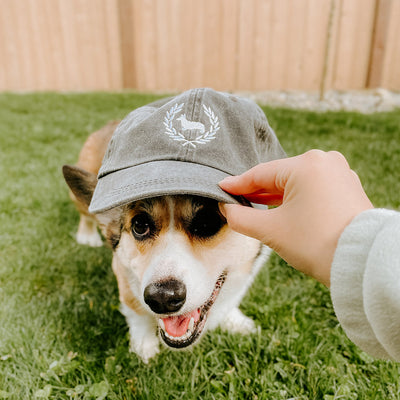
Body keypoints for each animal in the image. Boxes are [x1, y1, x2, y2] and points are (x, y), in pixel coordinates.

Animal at [63, 122, 272, 362]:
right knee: (86, 215)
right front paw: (144, 346)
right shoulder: (124, 274)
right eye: (140, 225)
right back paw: (87, 236)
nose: (162, 298)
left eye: (207, 222)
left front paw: (235, 321)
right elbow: (137, 312)